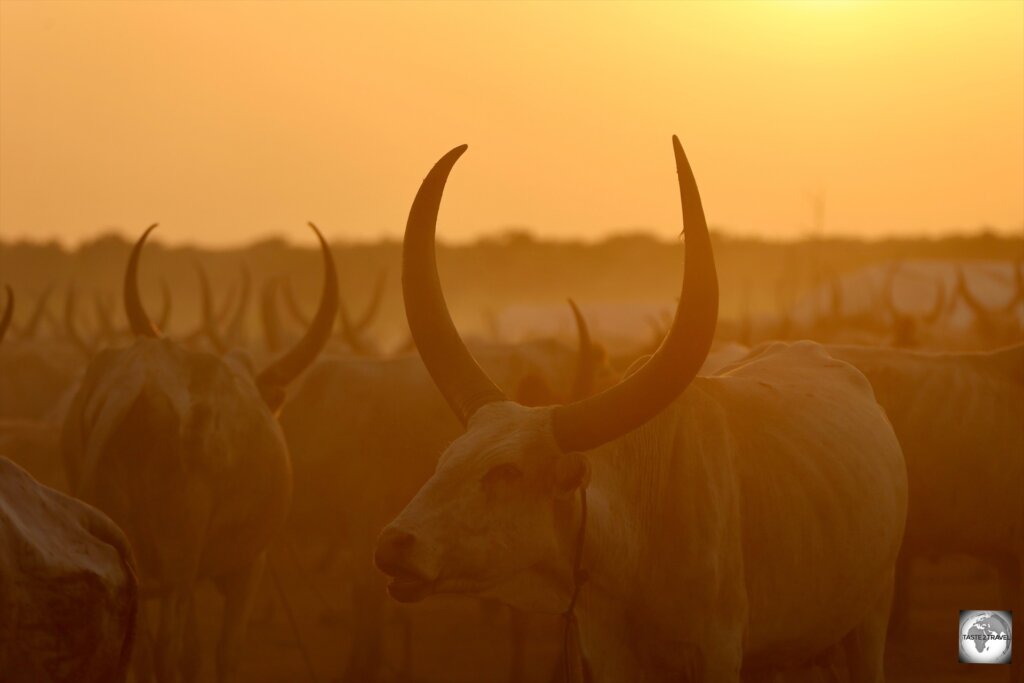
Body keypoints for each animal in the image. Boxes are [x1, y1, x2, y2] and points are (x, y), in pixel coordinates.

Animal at [58, 222, 339, 679]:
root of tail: (139, 379)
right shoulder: (248, 566)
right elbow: (226, 649)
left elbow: (194, 650)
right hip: (179, 558)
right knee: (165, 647)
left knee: (140, 645)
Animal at [372, 140, 909, 683]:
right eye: (445, 461)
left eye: (507, 471)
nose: (394, 544)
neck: (635, 540)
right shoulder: (610, 655)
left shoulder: (717, 653)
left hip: (870, 616)